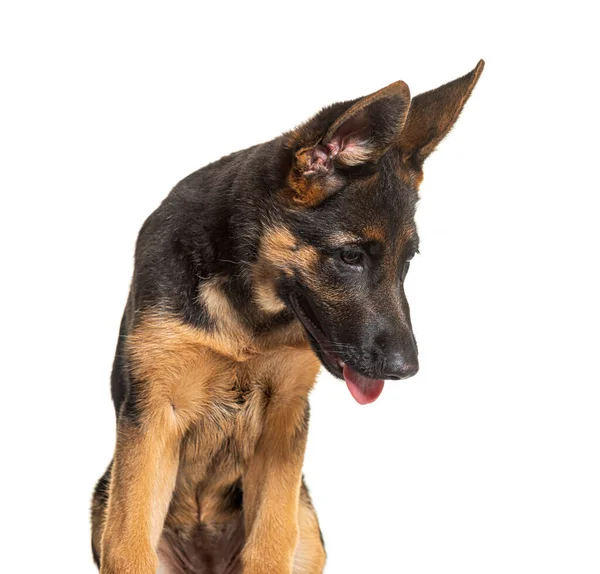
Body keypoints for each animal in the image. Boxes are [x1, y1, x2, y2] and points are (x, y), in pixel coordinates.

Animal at [91, 60, 482, 572]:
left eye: (409, 259)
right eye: (351, 256)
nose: (407, 370)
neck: (245, 311)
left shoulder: (284, 420)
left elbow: (270, 542)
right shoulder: (152, 414)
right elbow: (129, 542)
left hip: (308, 524)